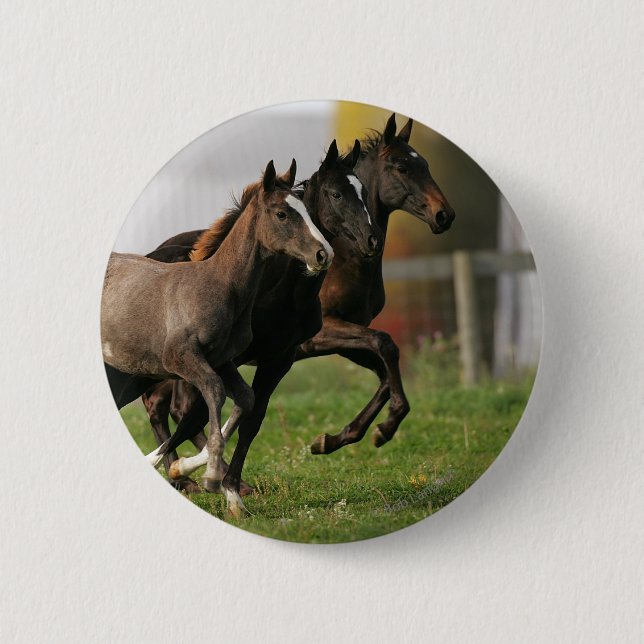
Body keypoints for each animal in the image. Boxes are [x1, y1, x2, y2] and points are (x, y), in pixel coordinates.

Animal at [101, 159, 333, 516]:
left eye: (307, 209)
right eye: (282, 214)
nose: (324, 255)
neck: (219, 286)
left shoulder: (223, 359)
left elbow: (245, 399)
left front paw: (226, 492)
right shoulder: (181, 358)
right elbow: (214, 392)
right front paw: (210, 475)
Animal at [139, 140, 383, 502]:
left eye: (364, 191)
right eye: (336, 194)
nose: (371, 240)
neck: (280, 293)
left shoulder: (279, 359)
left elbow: (251, 418)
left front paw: (228, 484)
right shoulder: (224, 359)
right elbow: (200, 414)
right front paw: (193, 471)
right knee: (171, 408)